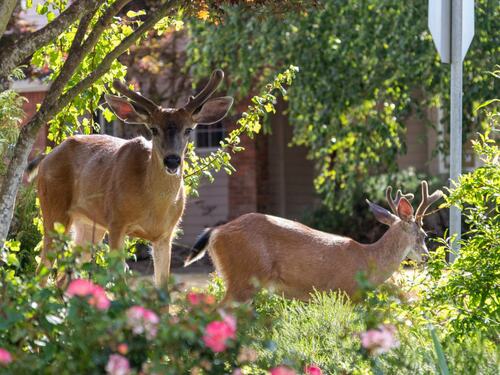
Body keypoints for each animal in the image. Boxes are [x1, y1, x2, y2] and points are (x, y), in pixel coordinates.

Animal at [30, 70, 233, 288]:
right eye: (153, 129)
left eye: (188, 129)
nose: (172, 160)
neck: (153, 206)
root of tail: (46, 157)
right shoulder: (117, 222)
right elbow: (120, 282)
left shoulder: (165, 234)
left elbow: (162, 286)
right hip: (54, 210)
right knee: (41, 272)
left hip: (89, 225)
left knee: (62, 277)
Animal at [184, 181, 442, 302]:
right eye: (424, 235)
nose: (427, 257)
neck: (368, 260)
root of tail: (216, 231)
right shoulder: (344, 291)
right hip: (244, 276)